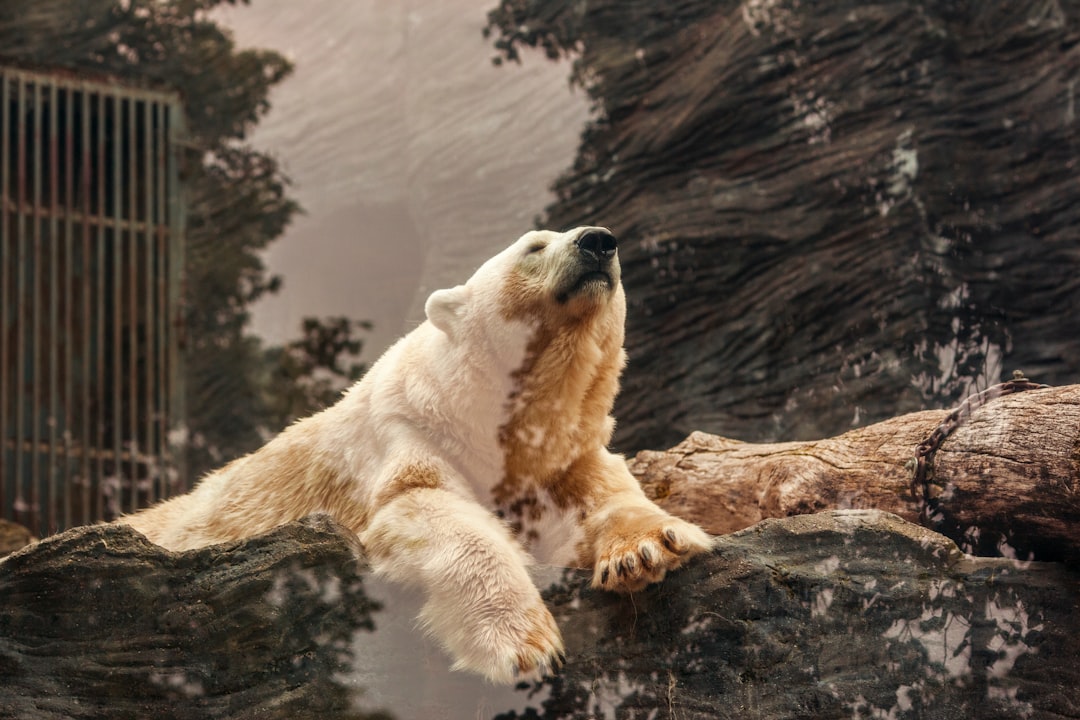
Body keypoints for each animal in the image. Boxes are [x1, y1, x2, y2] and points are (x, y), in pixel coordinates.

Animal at [122, 227, 712, 686]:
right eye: (534, 245)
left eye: (606, 244)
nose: (598, 242)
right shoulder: (407, 432)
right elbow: (424, 505)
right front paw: (526, 646)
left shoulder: (562, 459)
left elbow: (605, 494)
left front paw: (647, 550)